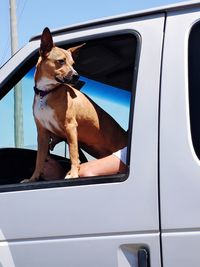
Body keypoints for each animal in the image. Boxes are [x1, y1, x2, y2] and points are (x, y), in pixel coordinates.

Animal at [22, 26, 127, 182]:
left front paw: (73, 174)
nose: (77, 76)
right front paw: (32, 179)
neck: (47, 92)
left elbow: (73, 154)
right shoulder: (42, 133)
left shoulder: (70, 126)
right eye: (61, 61)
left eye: (72, 64)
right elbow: (39, 159)